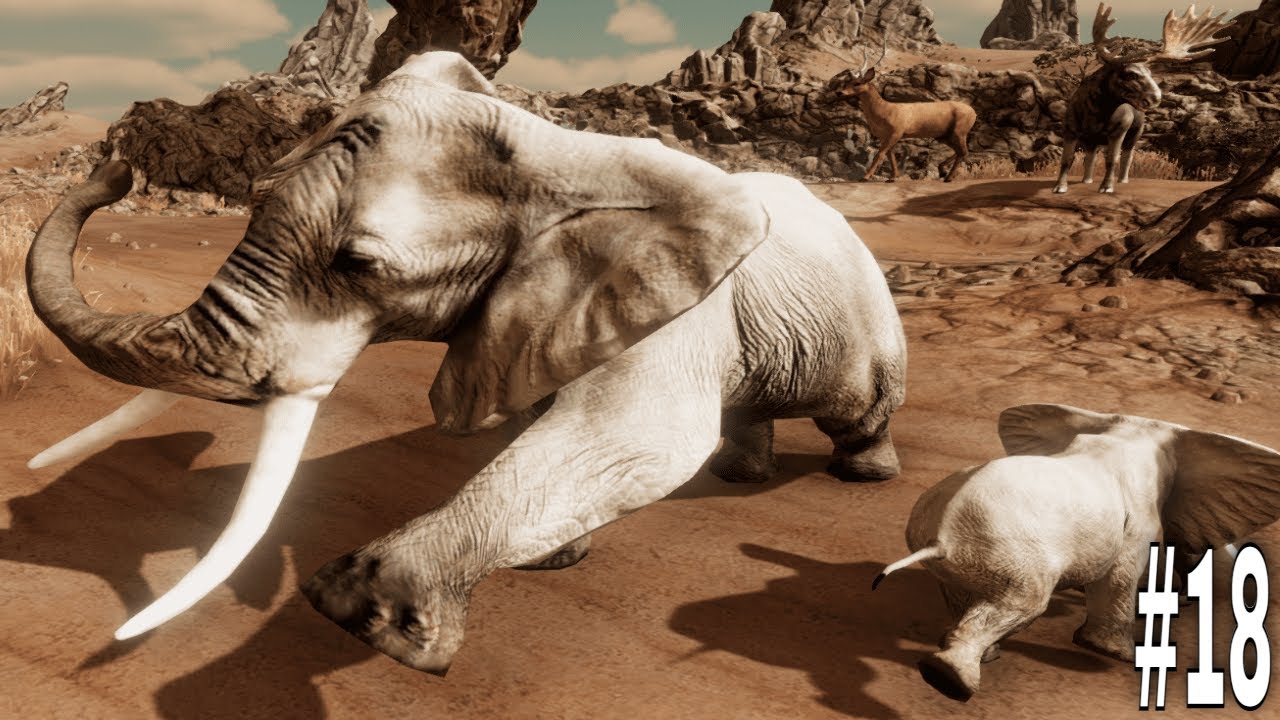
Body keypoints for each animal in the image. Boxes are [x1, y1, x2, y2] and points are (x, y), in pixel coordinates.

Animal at [25, 51, 907, 672]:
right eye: (256, 196)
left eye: (358, 264)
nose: (115, 167)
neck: (558, 151)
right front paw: (553, 560)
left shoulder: (682, 298)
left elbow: (641, 436)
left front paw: (363, 610)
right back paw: (741, 475)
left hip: (864, 317)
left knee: (858, 404)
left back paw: (866, 473)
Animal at [873, 403, 1280, 701]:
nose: (1185, 596)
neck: (1131, 430)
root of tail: (940, 538)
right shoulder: (1138, 519)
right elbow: (1121, 574)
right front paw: (1116, 655)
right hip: (1012, 553)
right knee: (1025, 602)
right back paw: (949, 681)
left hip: (965, 559)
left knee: (970, 598)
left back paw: (979, 659)